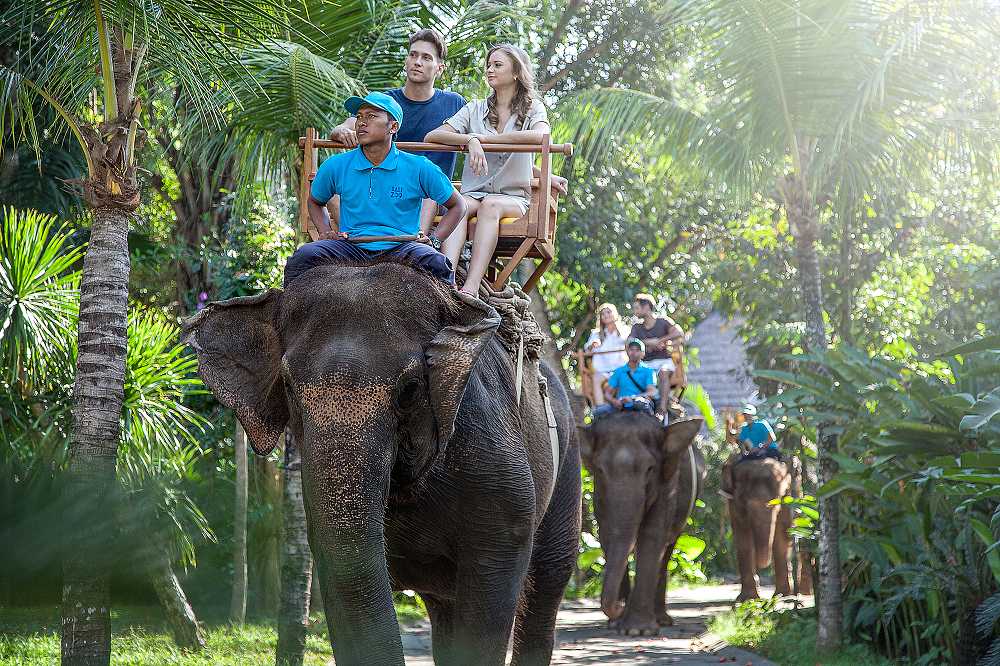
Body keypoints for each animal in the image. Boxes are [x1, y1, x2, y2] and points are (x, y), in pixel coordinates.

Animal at [184, 258, 584, 664]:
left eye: (410, 389)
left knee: (547, 578)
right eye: (289, 389)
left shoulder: (492, 453)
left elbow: (492, 579)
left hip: (568, 460)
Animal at [580, 412, 704, 636]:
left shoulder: (668, 486)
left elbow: (651, 535)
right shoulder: (599, 495)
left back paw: (661, 619)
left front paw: (638, 631)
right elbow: (607, 535)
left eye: (650, 469)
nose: (619, 605)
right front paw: (618, 624)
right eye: (600, 470)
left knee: (667, 550)